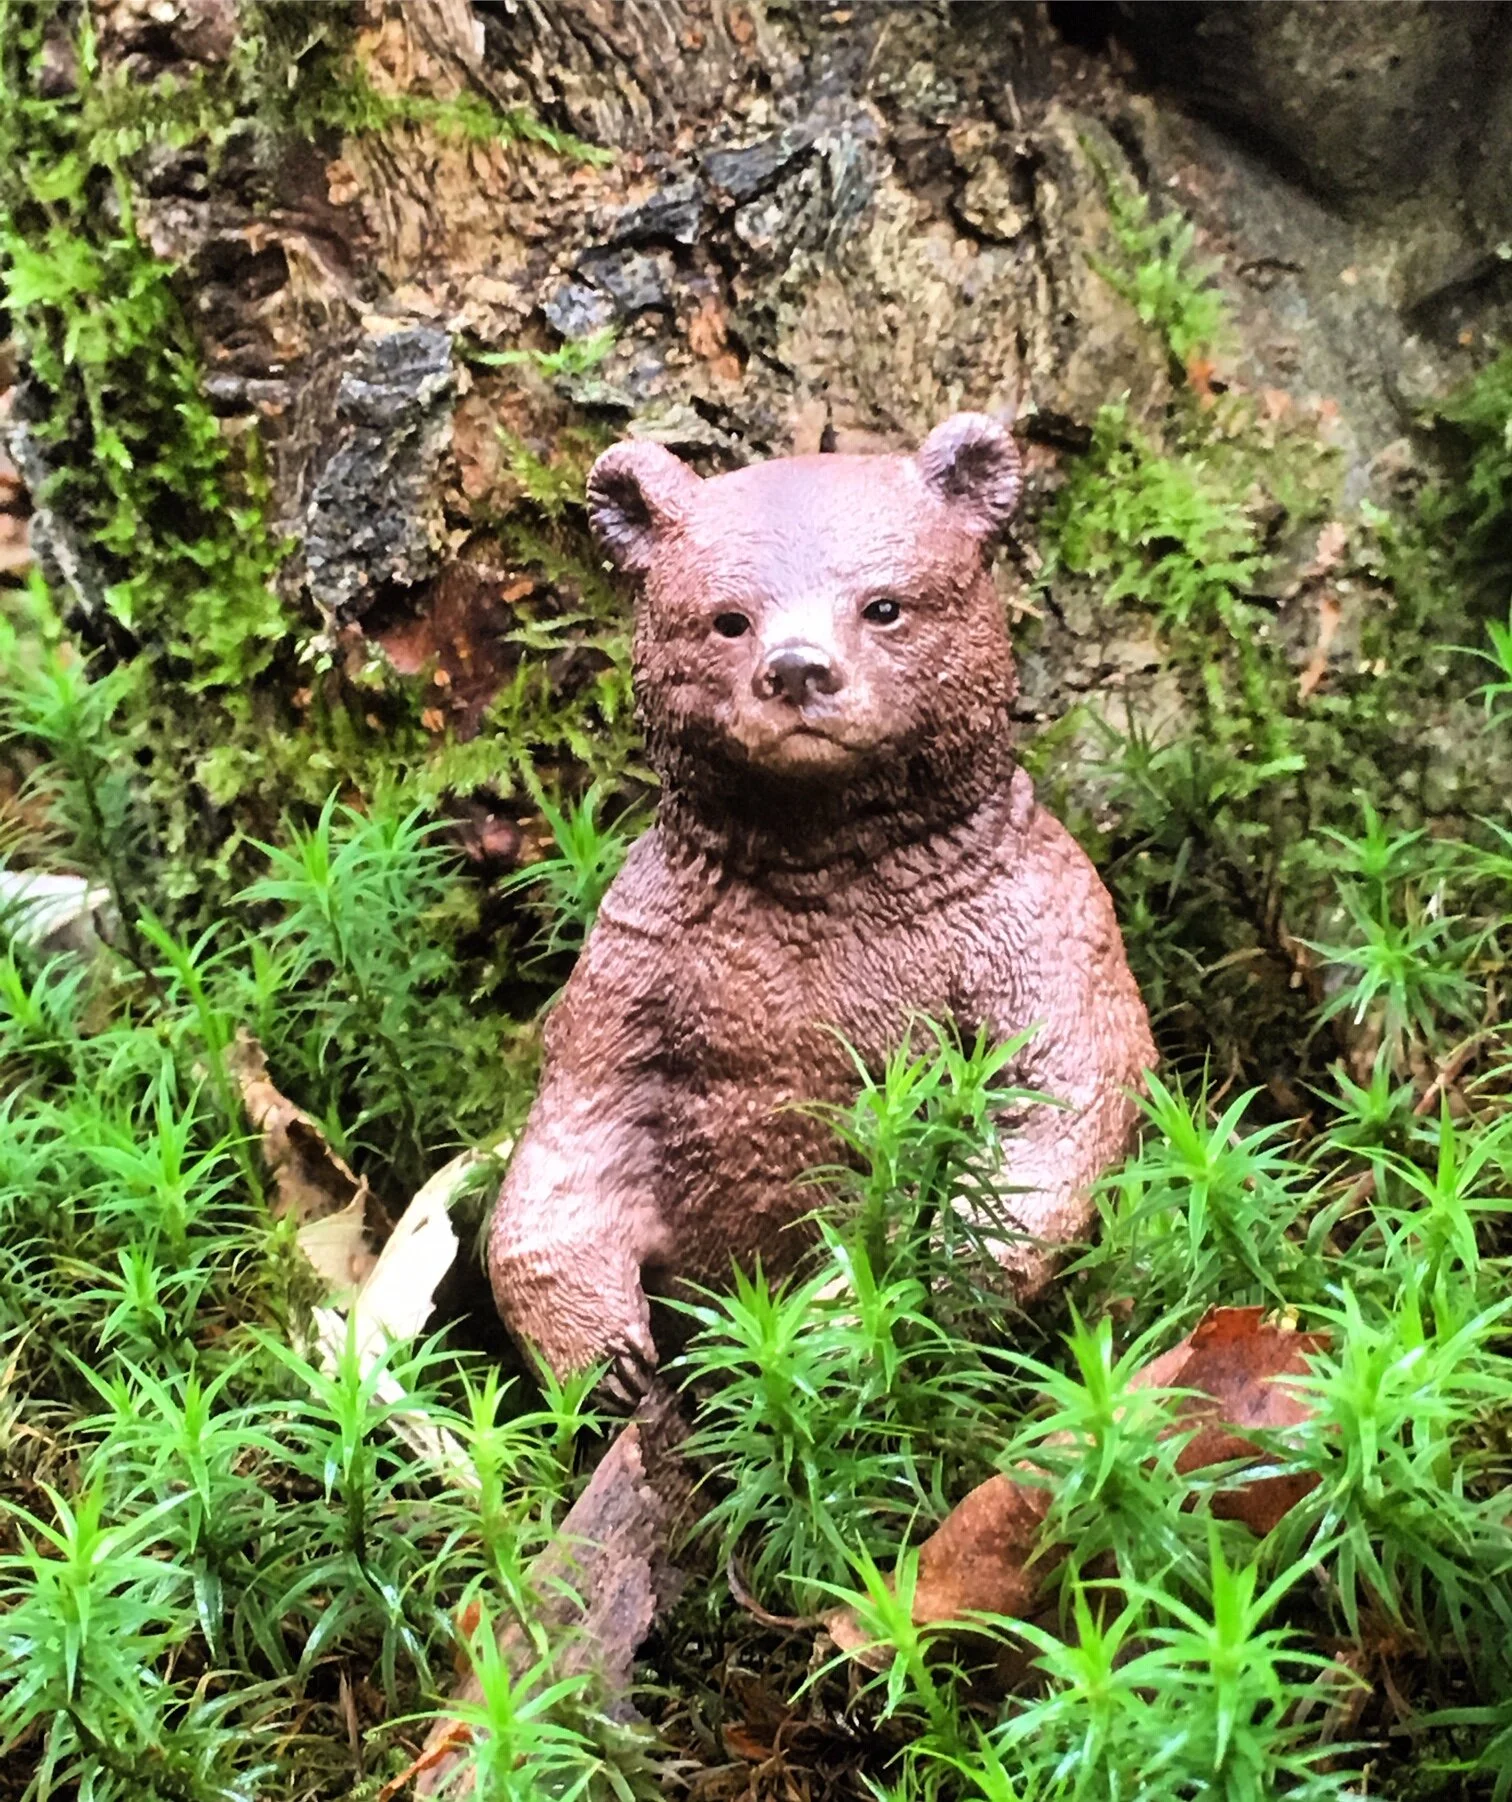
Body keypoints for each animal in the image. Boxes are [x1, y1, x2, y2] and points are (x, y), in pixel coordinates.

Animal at [488, 413, 1155, 1388]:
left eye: (885, 605)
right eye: (727, 619)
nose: (799, 670)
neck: (821, 869)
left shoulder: (1030, 917)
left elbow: (1058, 1095)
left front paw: (843, 1311)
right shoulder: (643, 953)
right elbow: (574, 1130)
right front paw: (605, 1353)